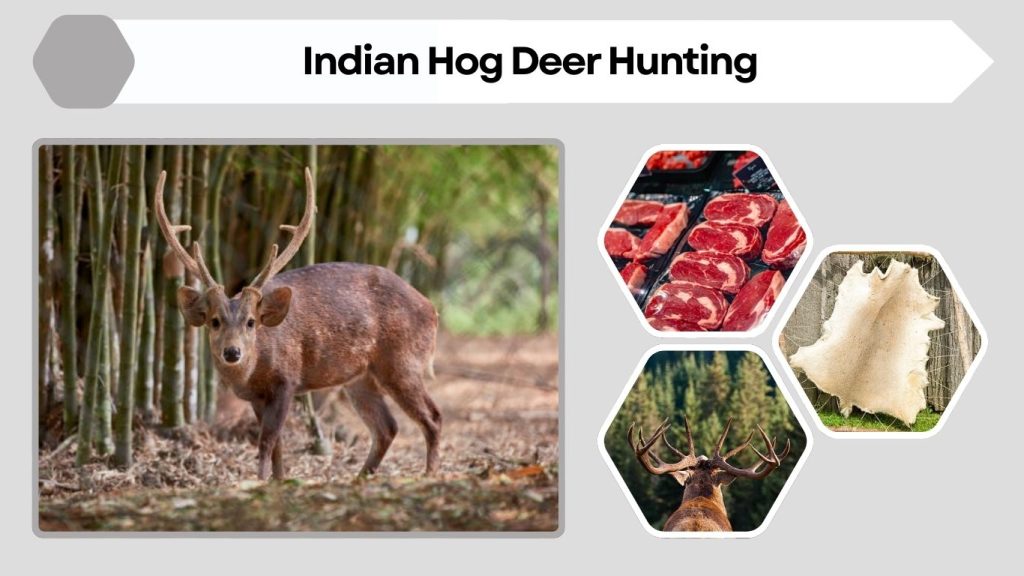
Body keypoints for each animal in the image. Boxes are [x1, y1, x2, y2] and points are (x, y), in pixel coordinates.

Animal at [154, 167, 442, 481]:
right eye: (214, 321)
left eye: (251, 322)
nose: (232, 352)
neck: (254, 371)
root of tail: (432, 310)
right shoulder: (256, 397)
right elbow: (277, 445)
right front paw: (278, 481)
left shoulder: (287, 381)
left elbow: (267, 441)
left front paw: (259, 481)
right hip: (361, 377)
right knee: (388, 426)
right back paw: (360, 477)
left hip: (402, 361)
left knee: (433, 417)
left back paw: (429, 474)